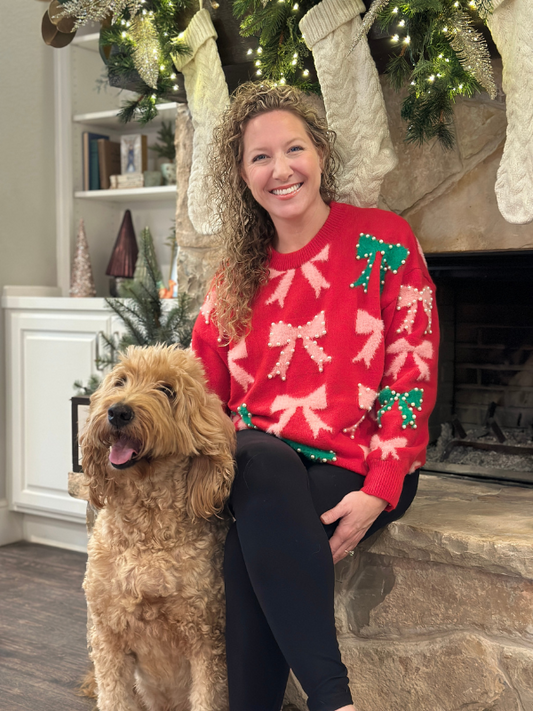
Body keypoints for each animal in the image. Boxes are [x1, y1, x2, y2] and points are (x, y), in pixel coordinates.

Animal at [79, 346, 235, 711]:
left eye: (167, 391)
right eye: (120, 381)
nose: (118, 412)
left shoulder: (208, 640)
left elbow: (207, 697)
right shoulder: (107, 635)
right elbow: (113, 697)